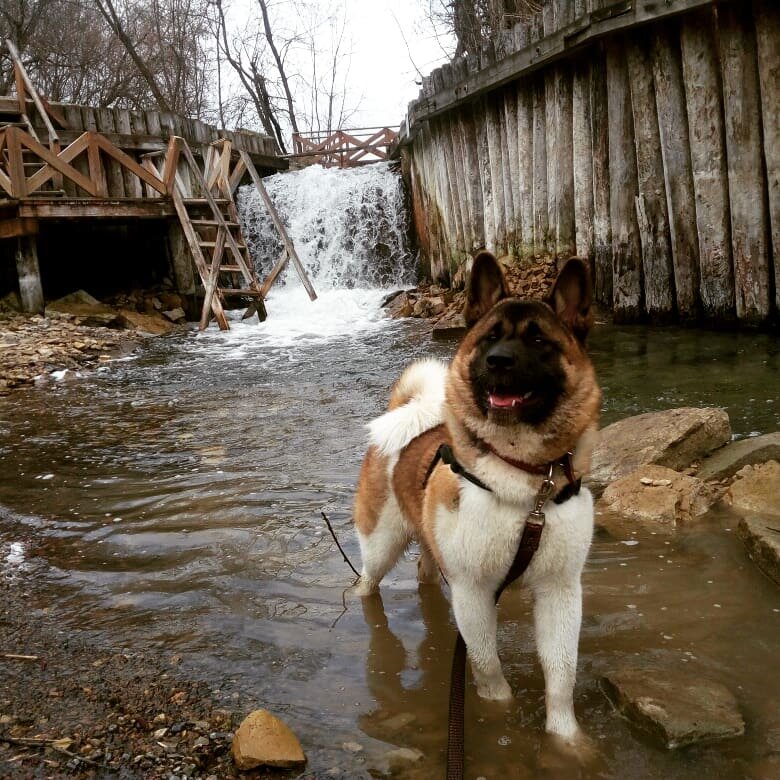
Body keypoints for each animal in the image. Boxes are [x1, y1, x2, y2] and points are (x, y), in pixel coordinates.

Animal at [354, 251, 604, 744]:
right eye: (490, 336)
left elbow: (561, 675)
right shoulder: (472, 591)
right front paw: (498, 720)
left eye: (539, 340)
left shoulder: (561, 590)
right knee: (365, 584)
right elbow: (488, 666)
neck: (526, 483)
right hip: (379, 547)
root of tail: (405, 416)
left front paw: (567, 743)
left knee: (424, 572)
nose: (498, 361)